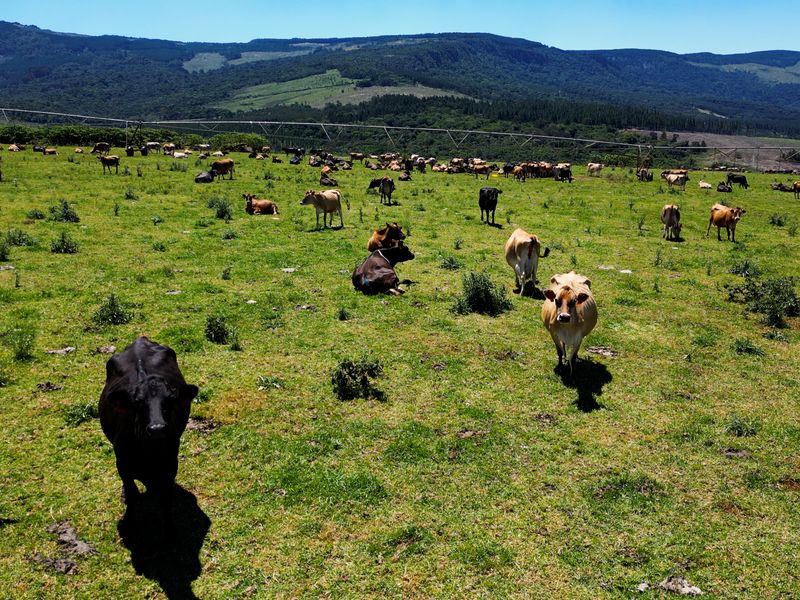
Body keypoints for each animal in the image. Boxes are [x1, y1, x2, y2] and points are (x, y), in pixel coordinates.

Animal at [99, 336, 198, 519]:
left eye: (170, 401)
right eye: (138, 403)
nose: (157, 428)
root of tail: (140, 340)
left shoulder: (171, 464)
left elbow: (165, 500)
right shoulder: (122, 464)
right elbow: (132, 494)